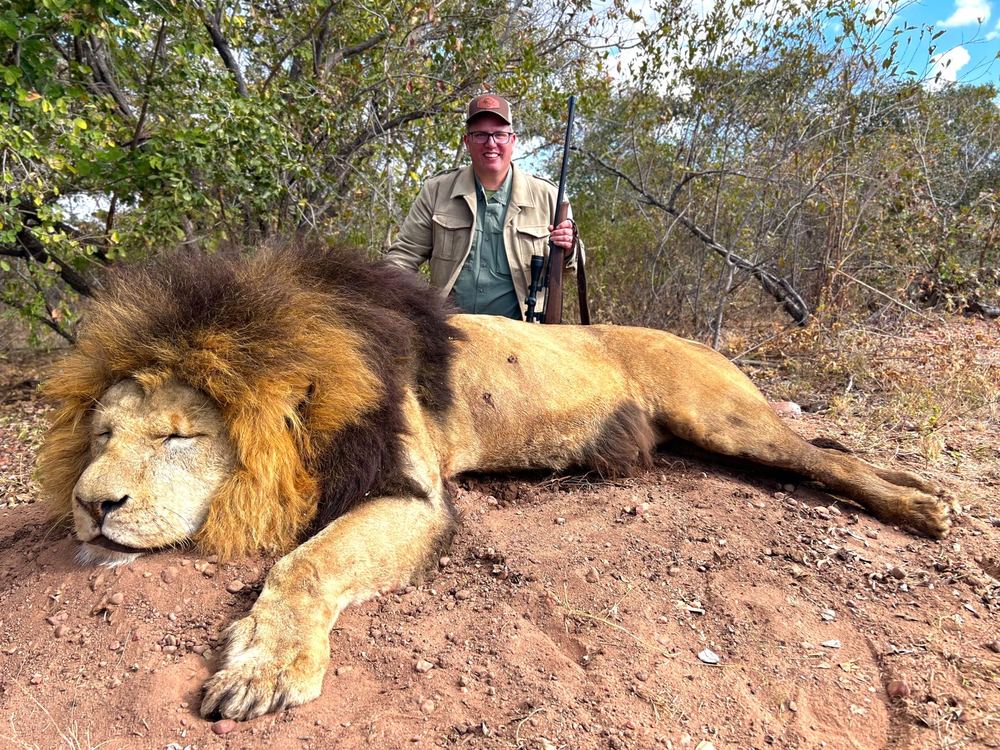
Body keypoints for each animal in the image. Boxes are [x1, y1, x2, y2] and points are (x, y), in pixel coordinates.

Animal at [37, 244, 951, 722]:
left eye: (181, 436)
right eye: (103, 435)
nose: (91, 505)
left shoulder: (412, 499)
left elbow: (305, 564)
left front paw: (264, 670)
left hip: (719, 417)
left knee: (827, 459)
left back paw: (926, 508)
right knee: (827, 446)